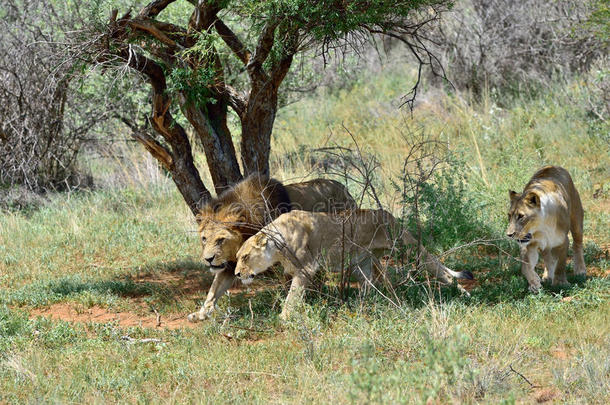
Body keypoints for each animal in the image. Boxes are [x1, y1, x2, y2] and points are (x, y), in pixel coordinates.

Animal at [188, 175, 354, 320]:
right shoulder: (230, 264)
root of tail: (344, 187)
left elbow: (291, 282)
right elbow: (214, 290)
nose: (208, 259)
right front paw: (201, 314)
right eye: (204, 239)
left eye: (221, 240)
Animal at [232, 208, 470, 318]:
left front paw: (283, 317)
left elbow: (293, 296)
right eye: (238, 258)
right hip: (361, 261)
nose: (236, 274)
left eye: (245, 257)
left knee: (437, 267)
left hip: (407, 245)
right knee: (368, 284)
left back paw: (463, 293)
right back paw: (362, 305)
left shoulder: (306, 269)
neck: (277, 243)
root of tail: (388, 213)